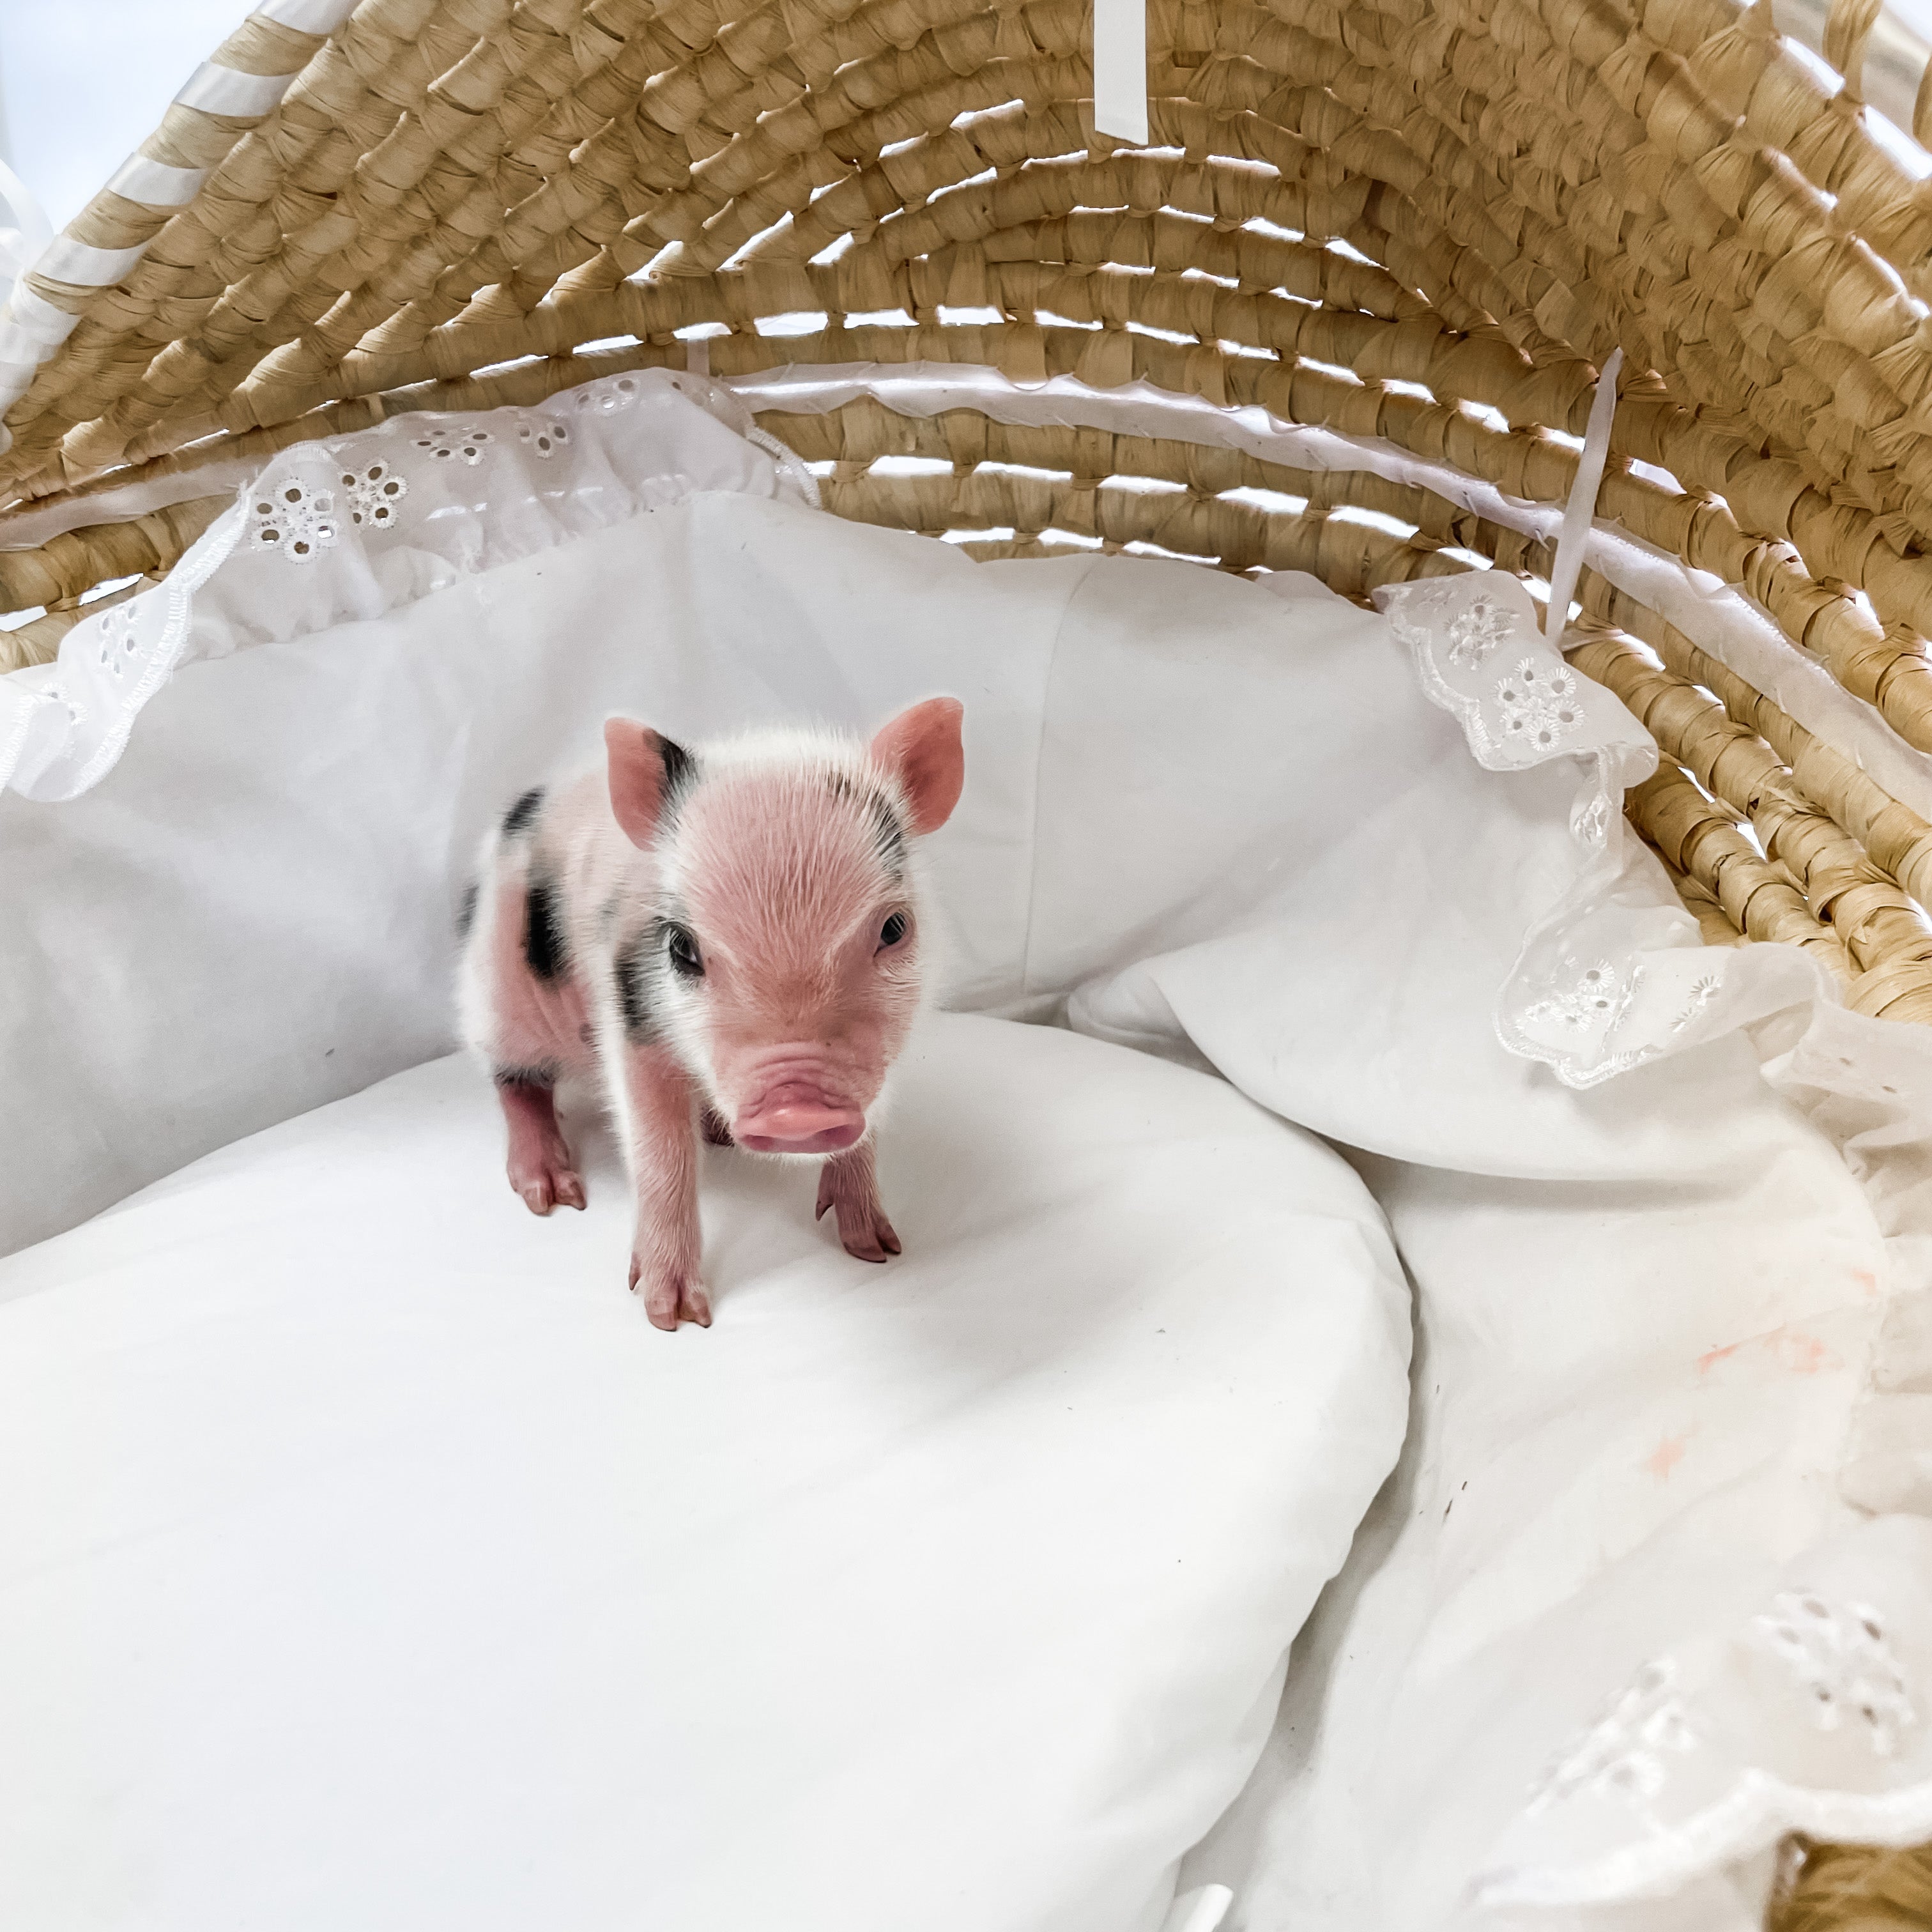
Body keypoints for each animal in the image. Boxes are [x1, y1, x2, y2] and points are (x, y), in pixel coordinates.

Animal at [456, 698, 965, 1331]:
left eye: (895, 928)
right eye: (681, 947)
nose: (795, 1109)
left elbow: (864, 1136)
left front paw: (879, 1250)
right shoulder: (635, 1018)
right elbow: (661, 1156)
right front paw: (673, 1316)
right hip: (498, 993)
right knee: (516, 1081)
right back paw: (553, 1194)